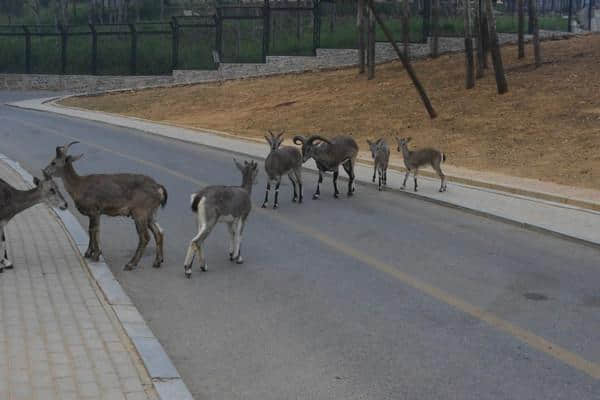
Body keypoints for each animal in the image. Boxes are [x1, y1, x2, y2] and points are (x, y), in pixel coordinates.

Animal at [43, 142, 168, 270]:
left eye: (53, 162)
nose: (44, 171)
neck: (79, 187)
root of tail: (159, 188)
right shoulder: (96, 212)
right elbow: (94, 230)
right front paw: (90, 252)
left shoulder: (93, 209)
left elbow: (93, 230)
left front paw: (94, 254)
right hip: (151, 212)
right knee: (159, 232)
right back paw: (158, 261)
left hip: (140, 211)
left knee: (145, 237)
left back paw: (131, 264)